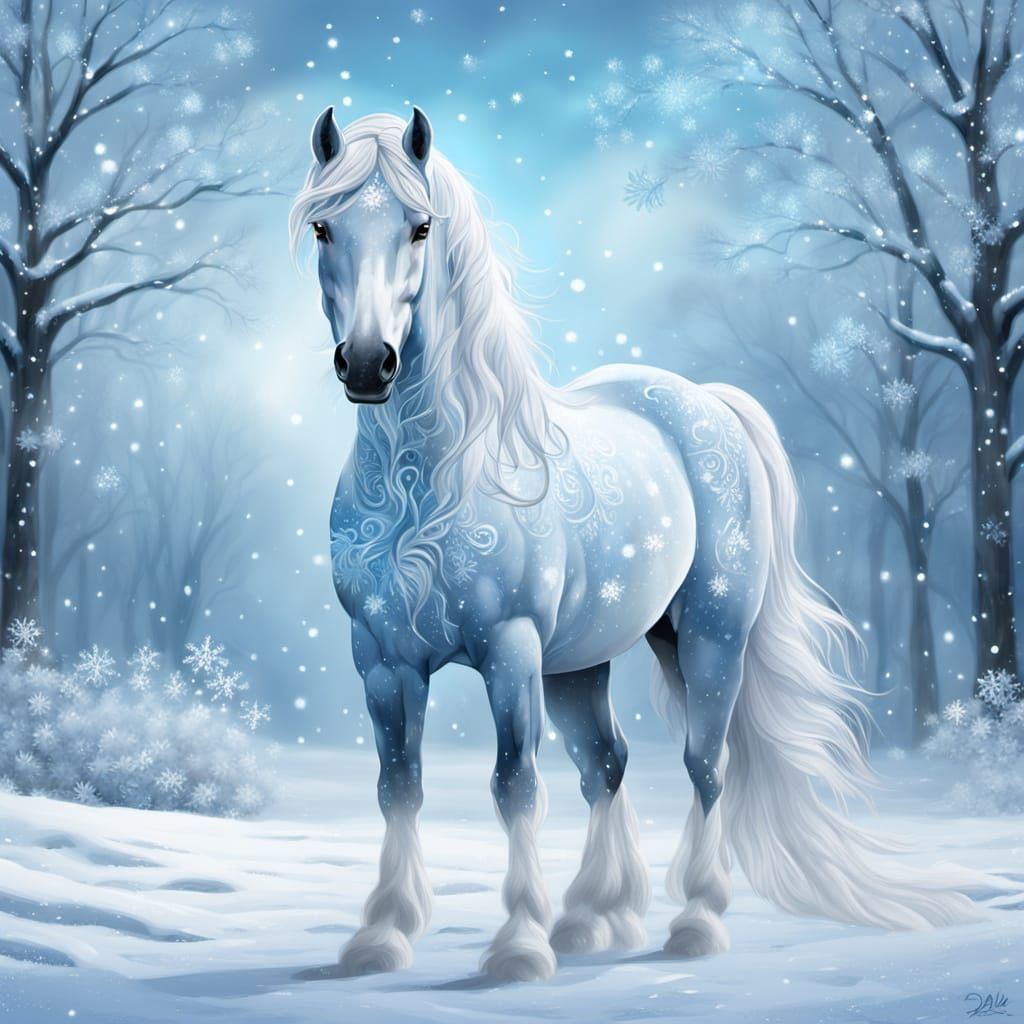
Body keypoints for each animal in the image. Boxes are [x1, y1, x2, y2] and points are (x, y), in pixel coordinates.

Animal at [289, 107, 983, 982]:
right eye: (324, 226)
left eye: (420, 226)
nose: (368, 364)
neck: (427, 483)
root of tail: (705, 401)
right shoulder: (382, 660)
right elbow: (399, 786)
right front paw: (381, 937)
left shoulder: (510, 650)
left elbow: (515, 785)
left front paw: (518, 947)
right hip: (579, 663)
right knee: (607, 764)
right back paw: (593, 917)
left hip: (708, 638)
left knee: (705, 765)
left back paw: (696, 924)